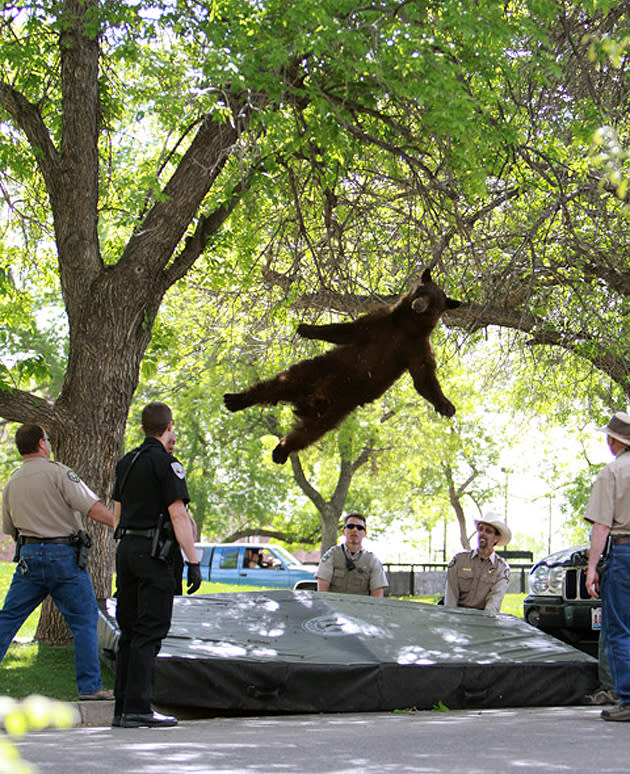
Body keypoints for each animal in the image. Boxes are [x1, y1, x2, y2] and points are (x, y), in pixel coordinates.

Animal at [225, 270, 462, 464]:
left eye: (434, 302)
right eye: (421, 291)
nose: (419, 304)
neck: (406, 326)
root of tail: (309, 401)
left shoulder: (417, 348)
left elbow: (424, 377)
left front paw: (446, 405)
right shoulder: (380, 323)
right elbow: (346, 330)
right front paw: (307, 328)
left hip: (336, 411)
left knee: (306, 434)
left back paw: (280, 451)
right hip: (314, 371)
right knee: (274, 386)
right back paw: (236, 399)